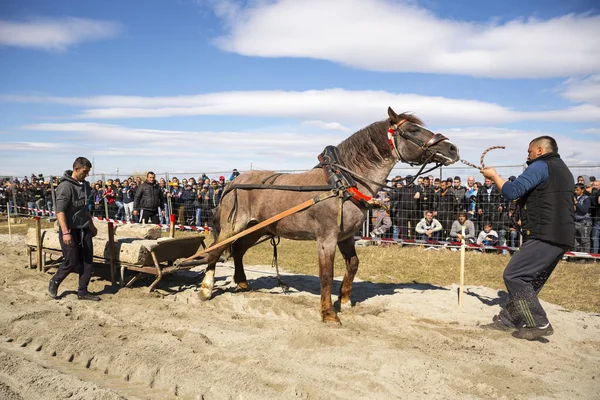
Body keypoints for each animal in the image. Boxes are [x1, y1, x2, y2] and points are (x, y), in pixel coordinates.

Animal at [199, 107, 458, 324]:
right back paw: (206, 288)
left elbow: (353, 264)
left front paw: (344, 299)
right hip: (234, 225)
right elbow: (326, 274)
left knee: (238, 251)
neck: (343, 182)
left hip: (257, 228)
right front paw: (329, 314)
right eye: (413, 130)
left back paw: (242, 283)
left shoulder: (346, 237)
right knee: (214, 250)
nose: (452, 149)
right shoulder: (327, 238)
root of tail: (233, 183)